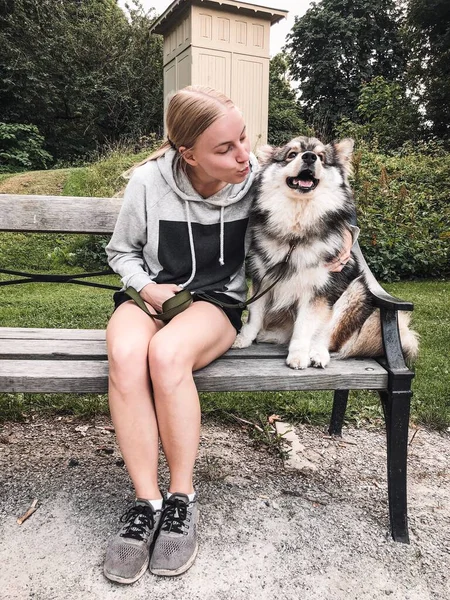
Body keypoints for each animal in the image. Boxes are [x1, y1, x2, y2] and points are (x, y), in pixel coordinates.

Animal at [234, 137, 420, 370]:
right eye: (292, 154)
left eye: (321, 157)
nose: (309, 157)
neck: (297, 229)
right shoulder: (263, 280)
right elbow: (255, 315)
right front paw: (244, 338)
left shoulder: (317, 291)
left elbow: (304, 328)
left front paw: (298, 355)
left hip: (352, 292)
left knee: (327, 337)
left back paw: (317, 354)